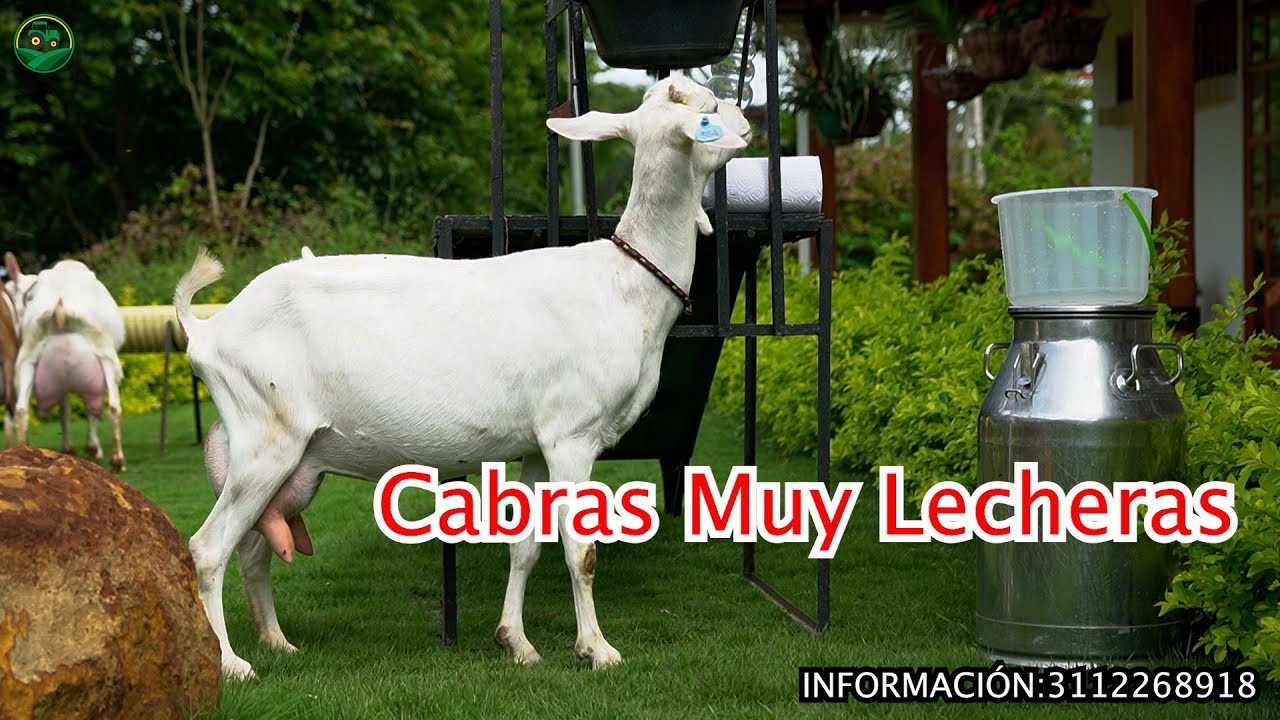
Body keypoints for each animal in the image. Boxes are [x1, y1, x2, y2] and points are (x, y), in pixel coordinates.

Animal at [10, 257, 127, 471]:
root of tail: (60, 312)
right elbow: (90, 408)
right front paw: (93, 448)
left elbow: (65, 408)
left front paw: (73, 448)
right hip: (106, 355)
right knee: (113, 406)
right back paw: (118, 461)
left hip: (27, 360)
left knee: (21, 410)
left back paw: (24, 453)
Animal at [173, 75, 749, 680]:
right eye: (704, 105)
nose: (743, 117)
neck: (625, 284)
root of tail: (206, 328)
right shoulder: (572, 435)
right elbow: (581, 550)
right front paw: (597, 649)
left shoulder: (536, 444)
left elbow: (526, 548)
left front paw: (516, 643)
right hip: (266, 440)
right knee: (208, 548)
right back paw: (231, 663)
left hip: (292, 461)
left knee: (253, 548)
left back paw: (277, 642)